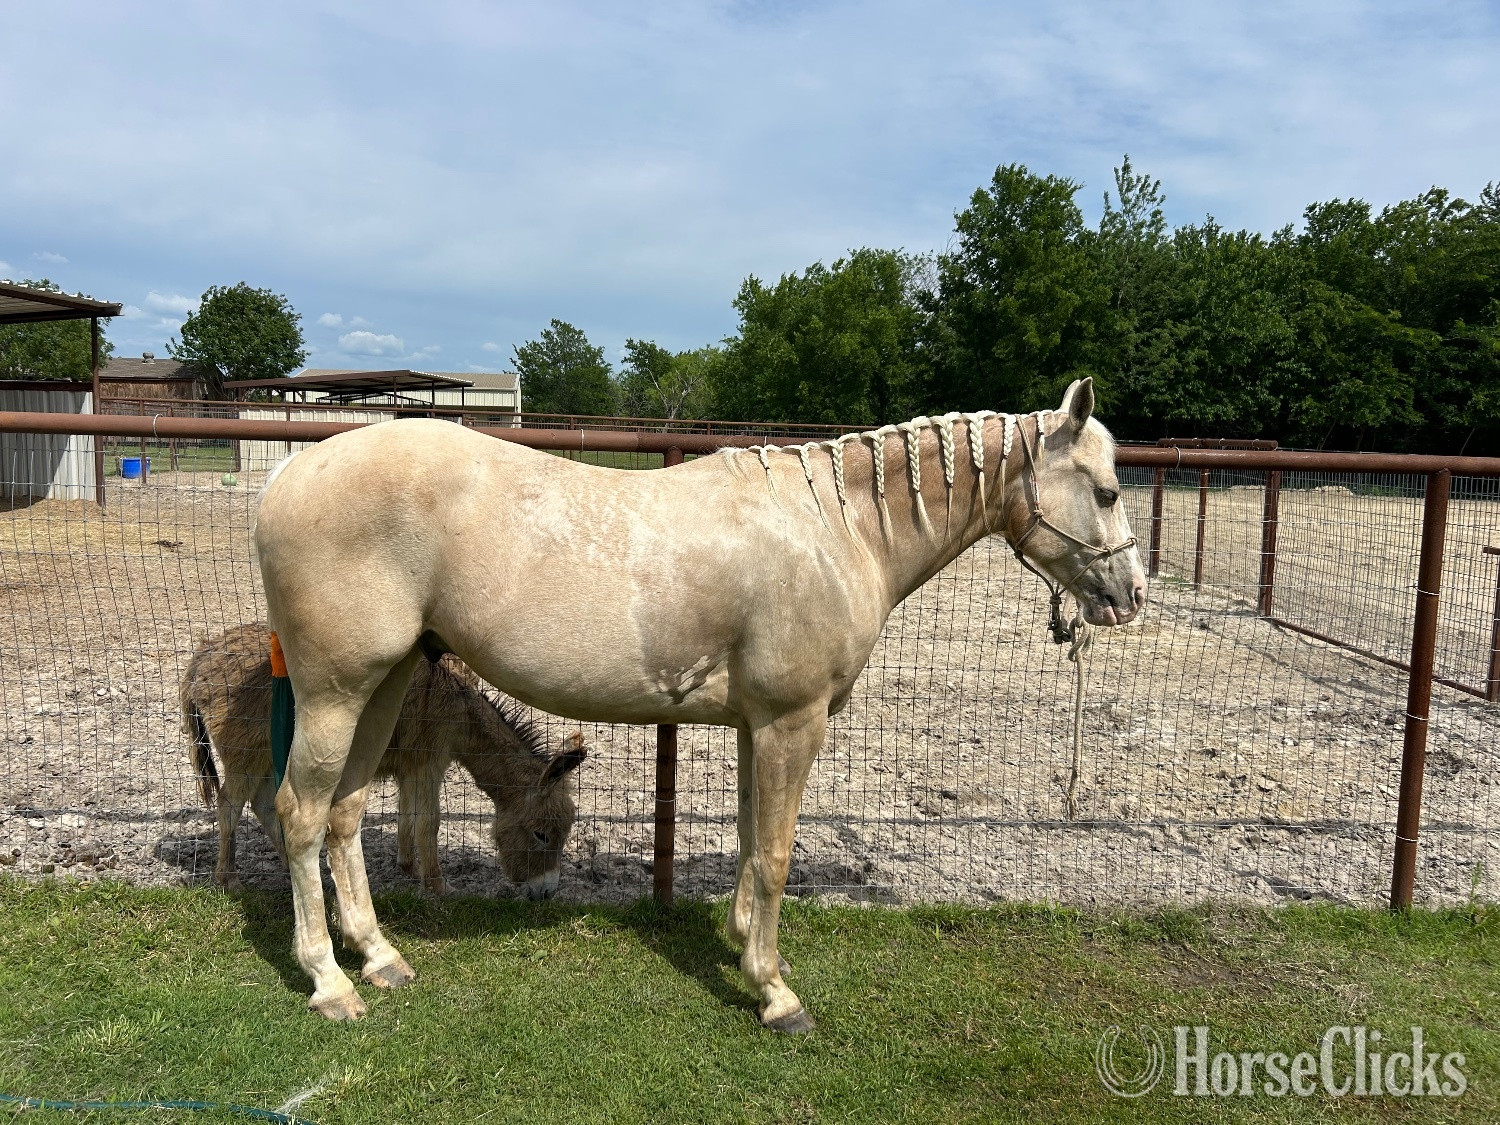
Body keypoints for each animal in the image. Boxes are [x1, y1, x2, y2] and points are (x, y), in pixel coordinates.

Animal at [254, 377, 1145, 1030]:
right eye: (1105, 491)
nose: (1132, 594)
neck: (837, 529)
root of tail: (286, 476)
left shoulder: (760, 726)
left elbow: (752, 838)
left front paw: (743, 943)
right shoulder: (793, 722)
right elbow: (776, 852)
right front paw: (774, 990)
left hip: (384, 682)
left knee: (344, 810)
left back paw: (378, 954)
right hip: (336, 692)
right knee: (300, 811)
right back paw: (330, 979)